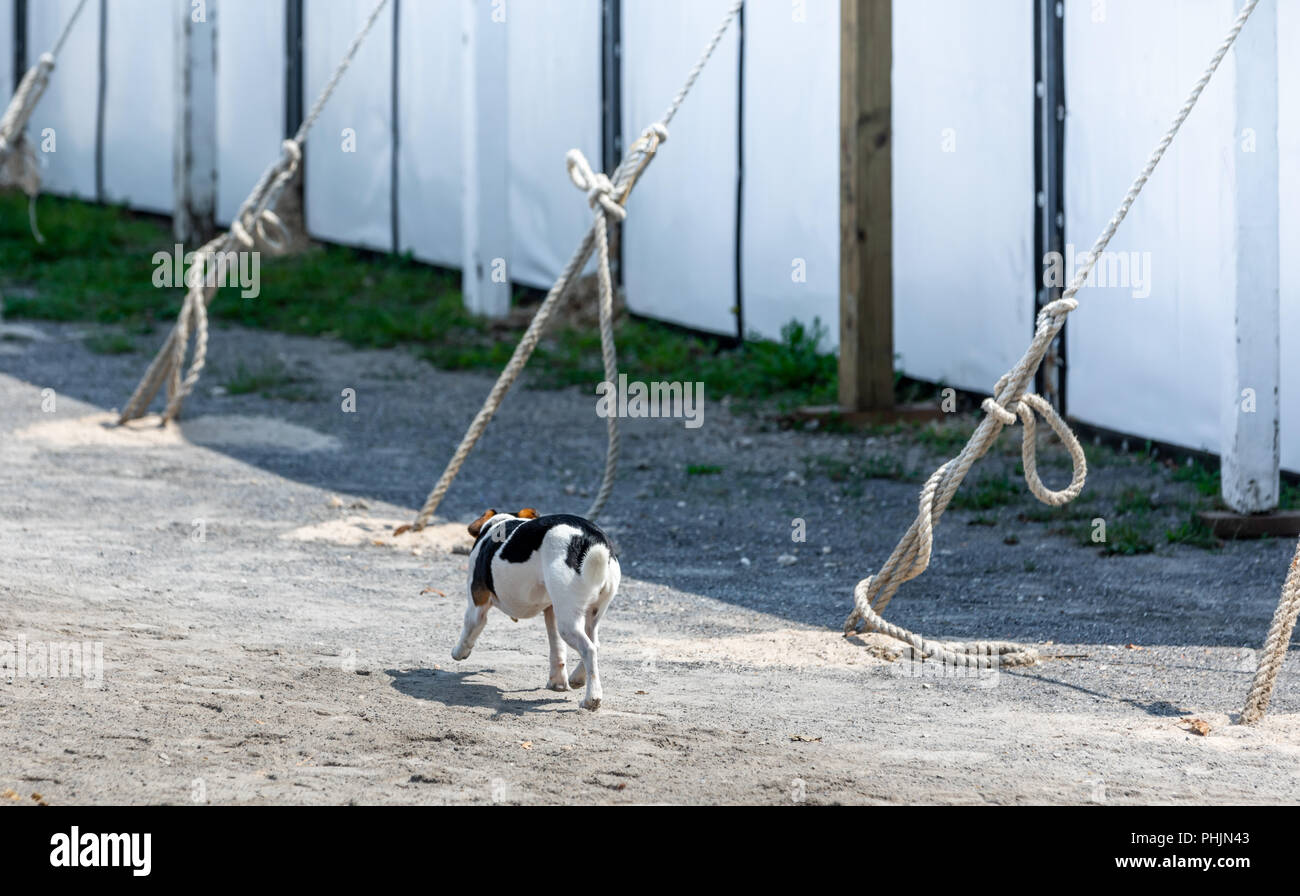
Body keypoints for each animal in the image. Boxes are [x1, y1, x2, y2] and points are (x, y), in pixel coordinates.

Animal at [454, 507, 621, 707]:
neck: (500, 522)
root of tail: (591, 538)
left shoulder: (477, 604)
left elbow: (469, 628)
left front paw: (459, 652)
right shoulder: (551, 612)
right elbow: (557, 649)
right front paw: (558, 682)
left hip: (568, 623)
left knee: (588, 649)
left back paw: (592, 698)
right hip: (589, 614)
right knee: (595, 644)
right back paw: (577, 678)